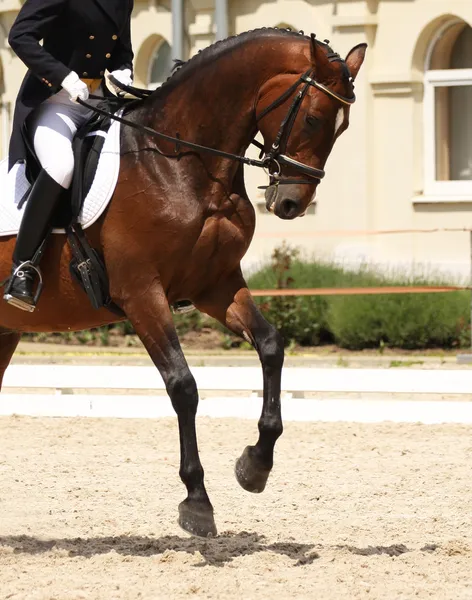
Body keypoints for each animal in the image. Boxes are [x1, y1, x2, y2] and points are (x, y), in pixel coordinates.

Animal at [0, 28, 366, 536]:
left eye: (342, 128)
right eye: (312, 118)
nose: (291, 203)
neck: (181, 162)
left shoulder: (215, 286)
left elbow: (271, 345)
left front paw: (255, 466)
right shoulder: (141, 293)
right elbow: (183, 386)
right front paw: (197, 501)